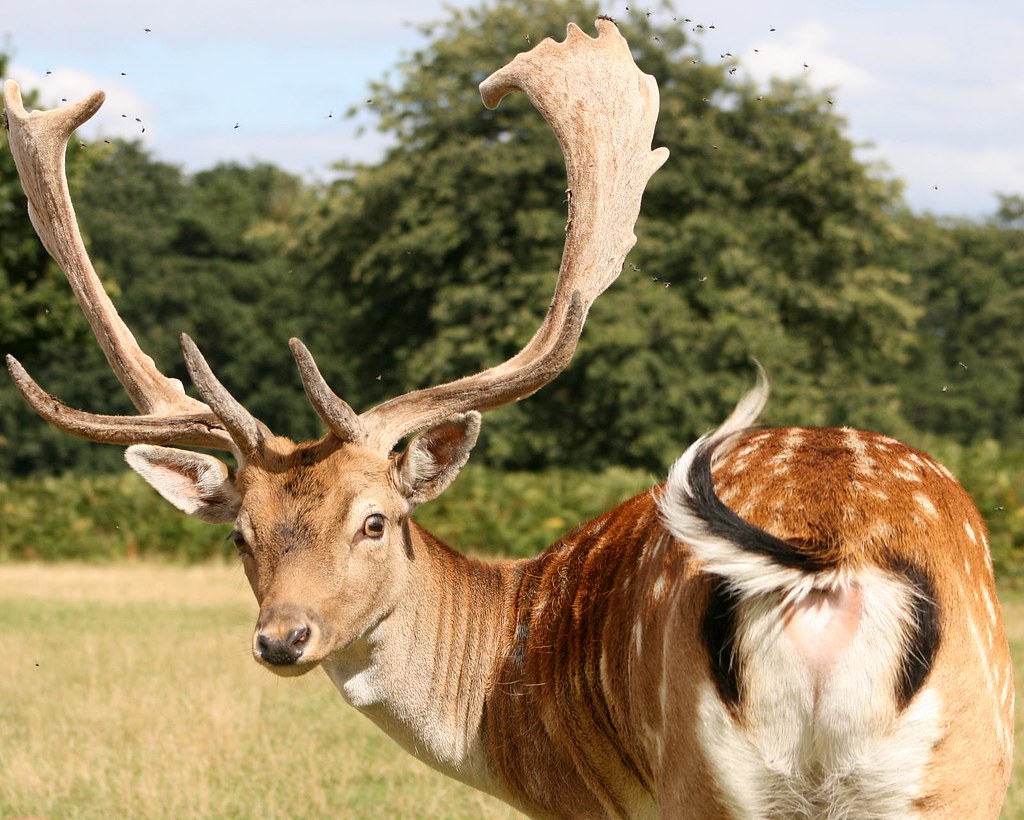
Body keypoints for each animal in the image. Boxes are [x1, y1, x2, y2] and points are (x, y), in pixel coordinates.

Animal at [2, 18, 1013, 819]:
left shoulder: (583, 801)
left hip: (710, 777)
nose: (282, 637)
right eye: (239, 535)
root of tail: (828, 565)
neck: (502, 696)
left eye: (377, 521)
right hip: (966, 767)